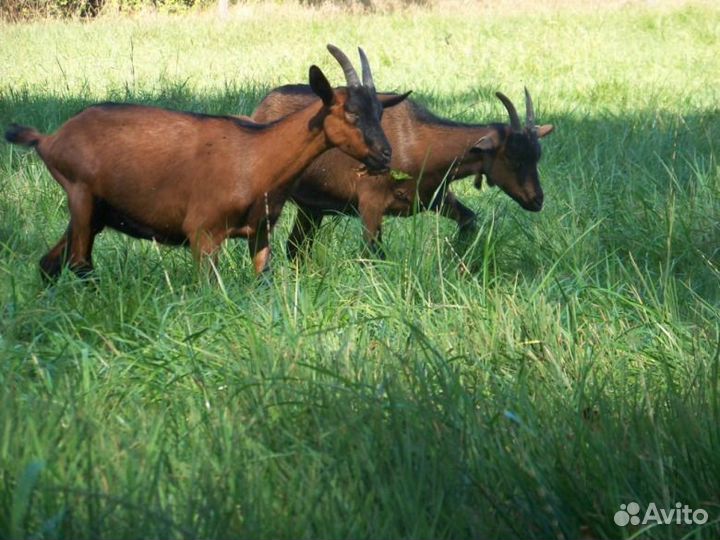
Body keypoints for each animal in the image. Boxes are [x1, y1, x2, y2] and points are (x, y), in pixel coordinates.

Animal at [5, 45, 409, 280]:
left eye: (379, 112)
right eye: (351, 113)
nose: (384, 155)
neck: (258, 157)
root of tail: (49, 139)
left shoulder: (260, 233)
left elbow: (263, 282)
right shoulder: (203, 234)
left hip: (96, 212)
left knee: (49, 264)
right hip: (81, 196)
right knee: (80, 265)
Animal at [252, 87, 553, 258]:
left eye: (537, 156)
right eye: (512, 157)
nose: (537, 200)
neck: (417, 140)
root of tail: (262, 108)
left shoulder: (435, 197)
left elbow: (468, 220)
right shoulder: (370, 202)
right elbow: (373, 253)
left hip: (311, 208)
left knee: (296, 248)